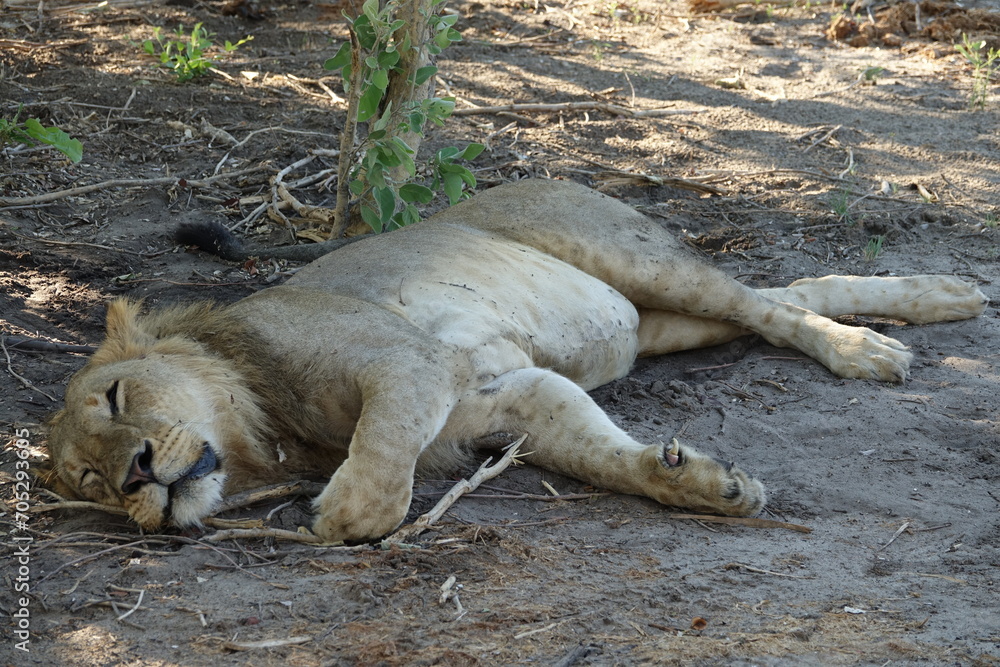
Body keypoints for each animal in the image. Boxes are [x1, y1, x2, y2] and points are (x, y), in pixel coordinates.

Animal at [47, 179, 987, 542]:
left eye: (116, 397)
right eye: (86, 481)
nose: (135, 474)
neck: (265, 425)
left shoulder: (412, 363)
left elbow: (381, 458)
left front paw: (341, 514)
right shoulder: (510, 395)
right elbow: (607, 456)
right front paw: (702, 483)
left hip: (635, 260)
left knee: (771, 304)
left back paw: (874, 349)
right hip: (655, 322)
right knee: (794, 288)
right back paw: (945, 296)